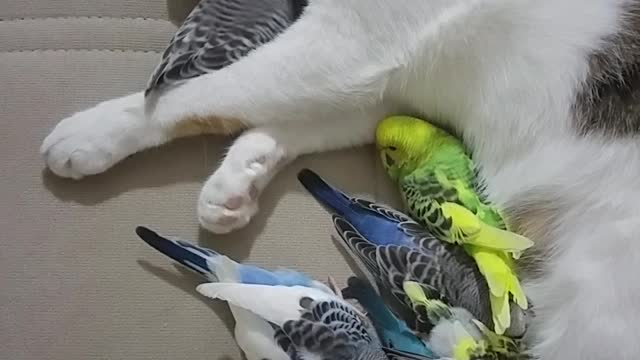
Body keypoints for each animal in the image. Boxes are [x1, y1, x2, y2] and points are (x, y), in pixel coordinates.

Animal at [38, 0, 640, 358]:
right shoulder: (384, 85)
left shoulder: (346, 45)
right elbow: (290, 122)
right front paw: (238, 181)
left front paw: (94, 132)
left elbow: (194, 98)